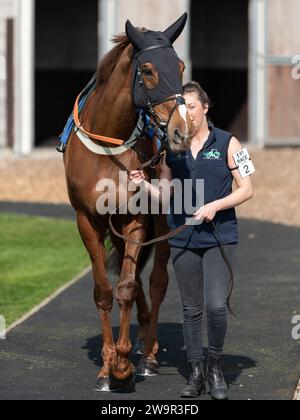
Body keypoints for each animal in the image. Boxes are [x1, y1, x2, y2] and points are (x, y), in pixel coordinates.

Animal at [64, 13, 193, 394]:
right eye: (147, 70)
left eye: (180, 67)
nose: (181, 132)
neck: (108, 143)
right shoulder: (87, 219)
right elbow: (104, 292)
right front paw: (108, 368)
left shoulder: (136, 218)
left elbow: (126, 287)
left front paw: (122, 366)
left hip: (161, 219)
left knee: (156, 281)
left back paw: (148, 354)